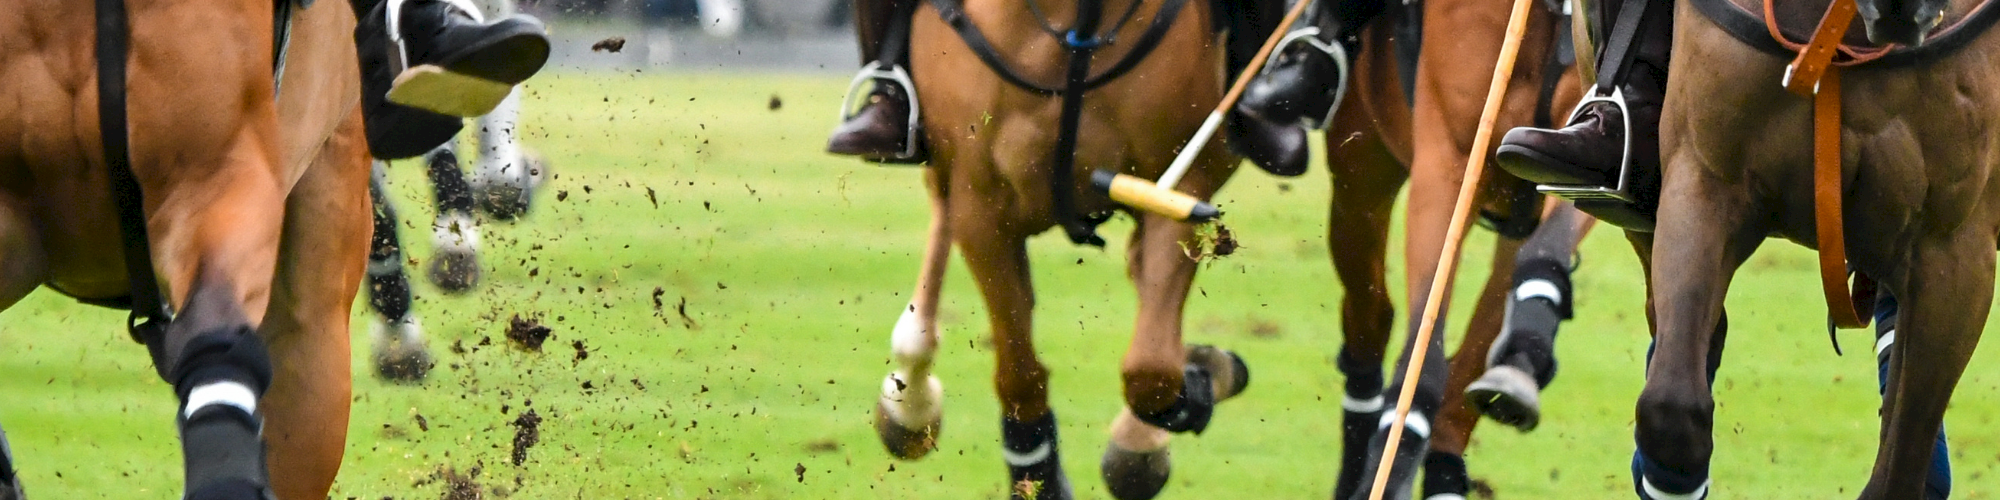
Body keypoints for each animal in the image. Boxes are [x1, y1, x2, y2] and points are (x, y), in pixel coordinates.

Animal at [867, 0, 1256, 498]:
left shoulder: (1179, 185)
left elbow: (1151, 371)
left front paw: (1199, 385)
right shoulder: (980, 200)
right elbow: (1019, 374)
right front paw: (1039, 478)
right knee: (940, 208)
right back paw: (909, 401)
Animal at [1310, 0, 1596, 497]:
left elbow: (1550, 246)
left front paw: (1524, 356)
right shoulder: (1448, 159)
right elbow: (1423, 350)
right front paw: (1388, 471)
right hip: (1359, 175)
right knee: (1372, 315)